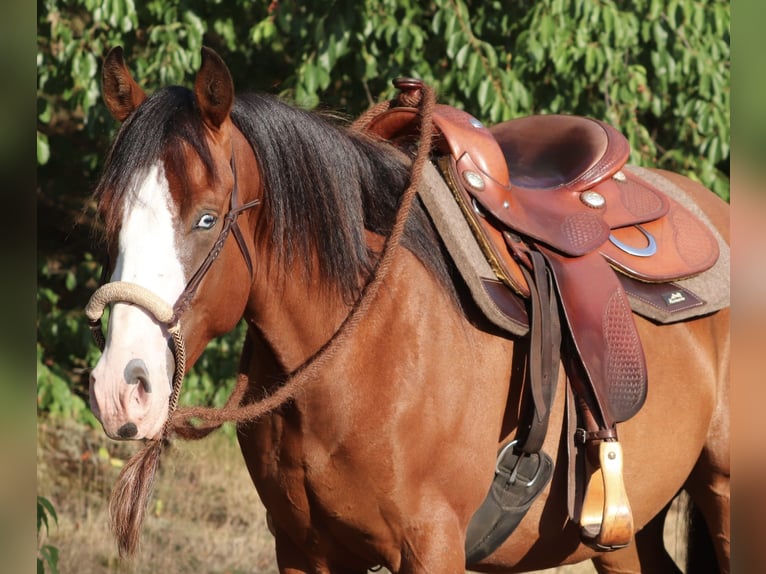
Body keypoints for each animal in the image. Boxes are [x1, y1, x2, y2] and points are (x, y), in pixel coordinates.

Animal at [87, 46, 730, 573]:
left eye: (206, 218)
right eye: (107, 216)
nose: (121, 389)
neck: (361, 349)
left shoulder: (433, 544)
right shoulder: (301, 547)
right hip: (628, 533)